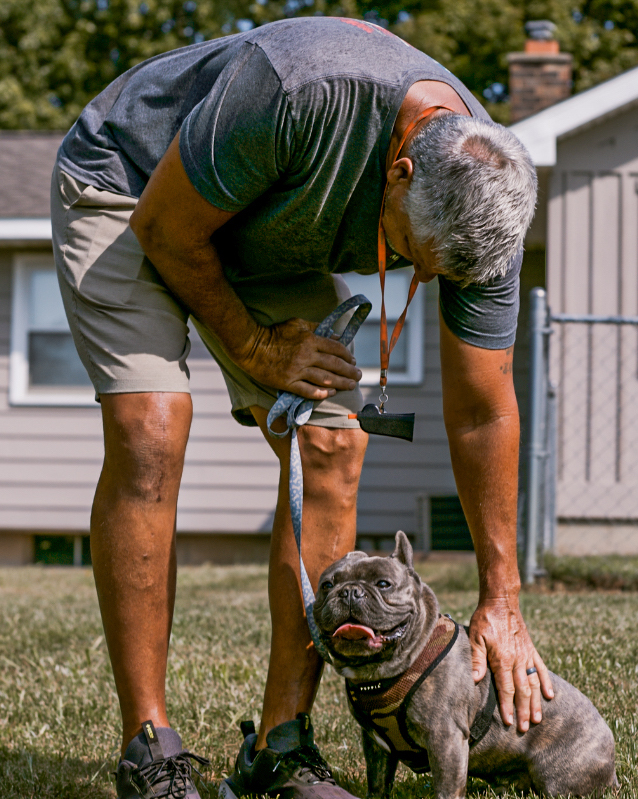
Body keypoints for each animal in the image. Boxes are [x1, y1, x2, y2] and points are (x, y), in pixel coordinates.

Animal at [312, 532, 616, 799]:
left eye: (383, 584)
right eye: (326, 585)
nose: (350, 592)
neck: (377, 671)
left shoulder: (445, 739)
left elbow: (447, 787)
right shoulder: (376, 745)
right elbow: (377, 781)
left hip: (557, 778)